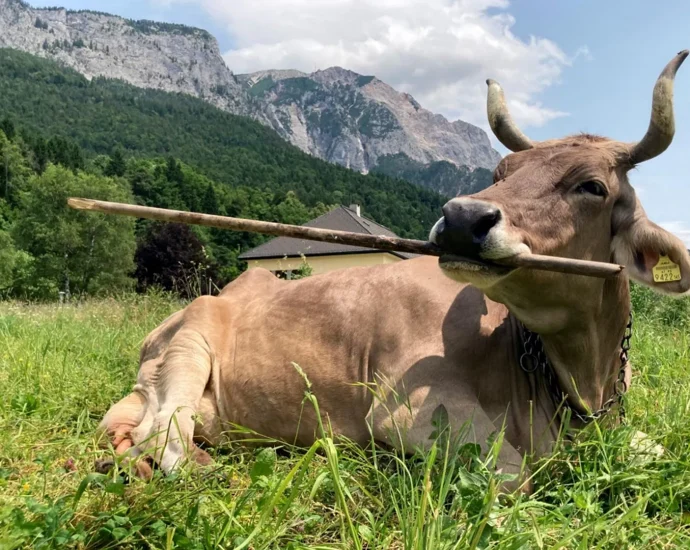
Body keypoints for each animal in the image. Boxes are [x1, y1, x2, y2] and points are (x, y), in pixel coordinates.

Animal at [97, 51, 690, 491]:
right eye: (502, 172)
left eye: (592, 186)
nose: (462, 217)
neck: (579, 384)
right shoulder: (409, 411)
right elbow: (512, 476)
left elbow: (665, 452)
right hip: (190, 344)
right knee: (163, 437)